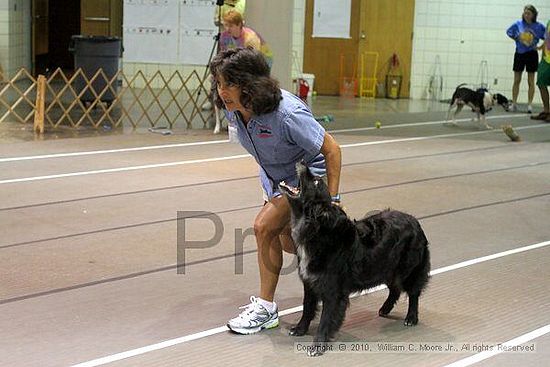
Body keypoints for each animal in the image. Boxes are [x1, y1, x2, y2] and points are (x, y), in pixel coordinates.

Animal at [280, 163, 432, 356]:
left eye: (316, 181)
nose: (301, 162)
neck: (316, 230)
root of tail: (415, 222)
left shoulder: (333, 291)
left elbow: (325, 319)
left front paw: (318, 345)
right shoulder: (310, 283)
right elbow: (307, 308)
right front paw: (300, 329)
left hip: (409, 270)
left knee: (413, 293)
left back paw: (411, 317)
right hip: (385, 268)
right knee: (395, 290)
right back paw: (385, 308)